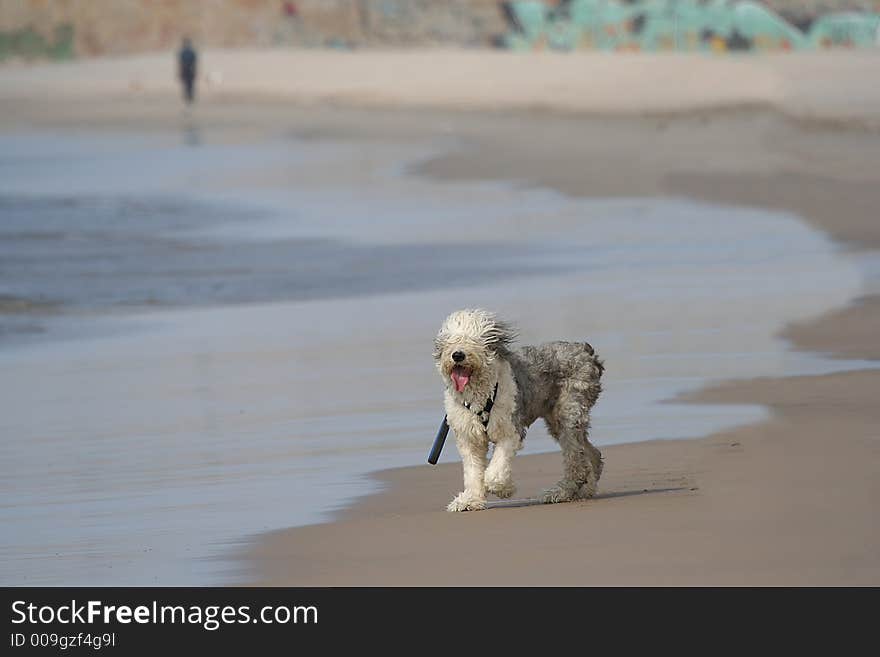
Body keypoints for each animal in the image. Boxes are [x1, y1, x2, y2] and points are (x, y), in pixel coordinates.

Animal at [434, 308, 604, 512]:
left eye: (474, 339)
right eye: (450, 340)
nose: (457, 355)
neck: (480, 396)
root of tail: (584, 350)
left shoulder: (510, 430)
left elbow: (495, 469)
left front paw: (503, 489)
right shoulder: (469, 439)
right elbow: (473, 472)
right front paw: (470, 500)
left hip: (569, 412)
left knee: (576, 462)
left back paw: (559, 493)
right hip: (557, 420)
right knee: (591, 454)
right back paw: (585, 490)